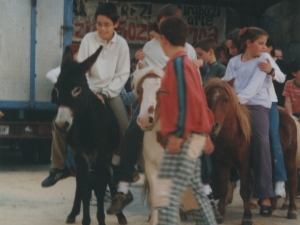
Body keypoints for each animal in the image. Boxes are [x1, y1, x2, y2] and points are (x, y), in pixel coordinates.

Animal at [204, 78, 298, 224]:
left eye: (226, 99)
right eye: (208, 98)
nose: (213, 126)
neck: (233, 135)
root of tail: (290, 117)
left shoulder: (244, 165)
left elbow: (244, 191)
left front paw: (247, 217)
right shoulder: (221, 164)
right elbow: (223, 188)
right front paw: (221, 214)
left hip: (290, 161)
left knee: (292, 183)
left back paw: (291, 209)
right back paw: (270, 206)